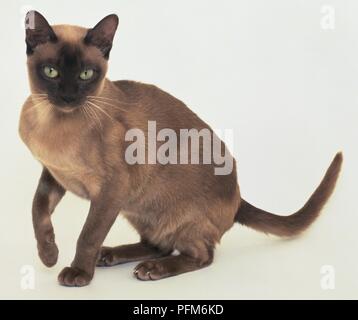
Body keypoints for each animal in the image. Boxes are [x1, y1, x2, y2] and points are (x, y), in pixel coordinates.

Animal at [18, 10, 342, 288]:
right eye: (51, 71)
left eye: (86, 74)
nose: (68, 97)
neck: (54, 124)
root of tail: (239, 198)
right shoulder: (54, 174)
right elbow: (37, 211)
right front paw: (48, 255)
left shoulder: (111, 189)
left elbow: (88, 235)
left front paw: (78, 274)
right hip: (139, 209)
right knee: (157, 244)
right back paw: (110, 255)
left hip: (166, 213)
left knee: (200, 255)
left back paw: (149, 270)